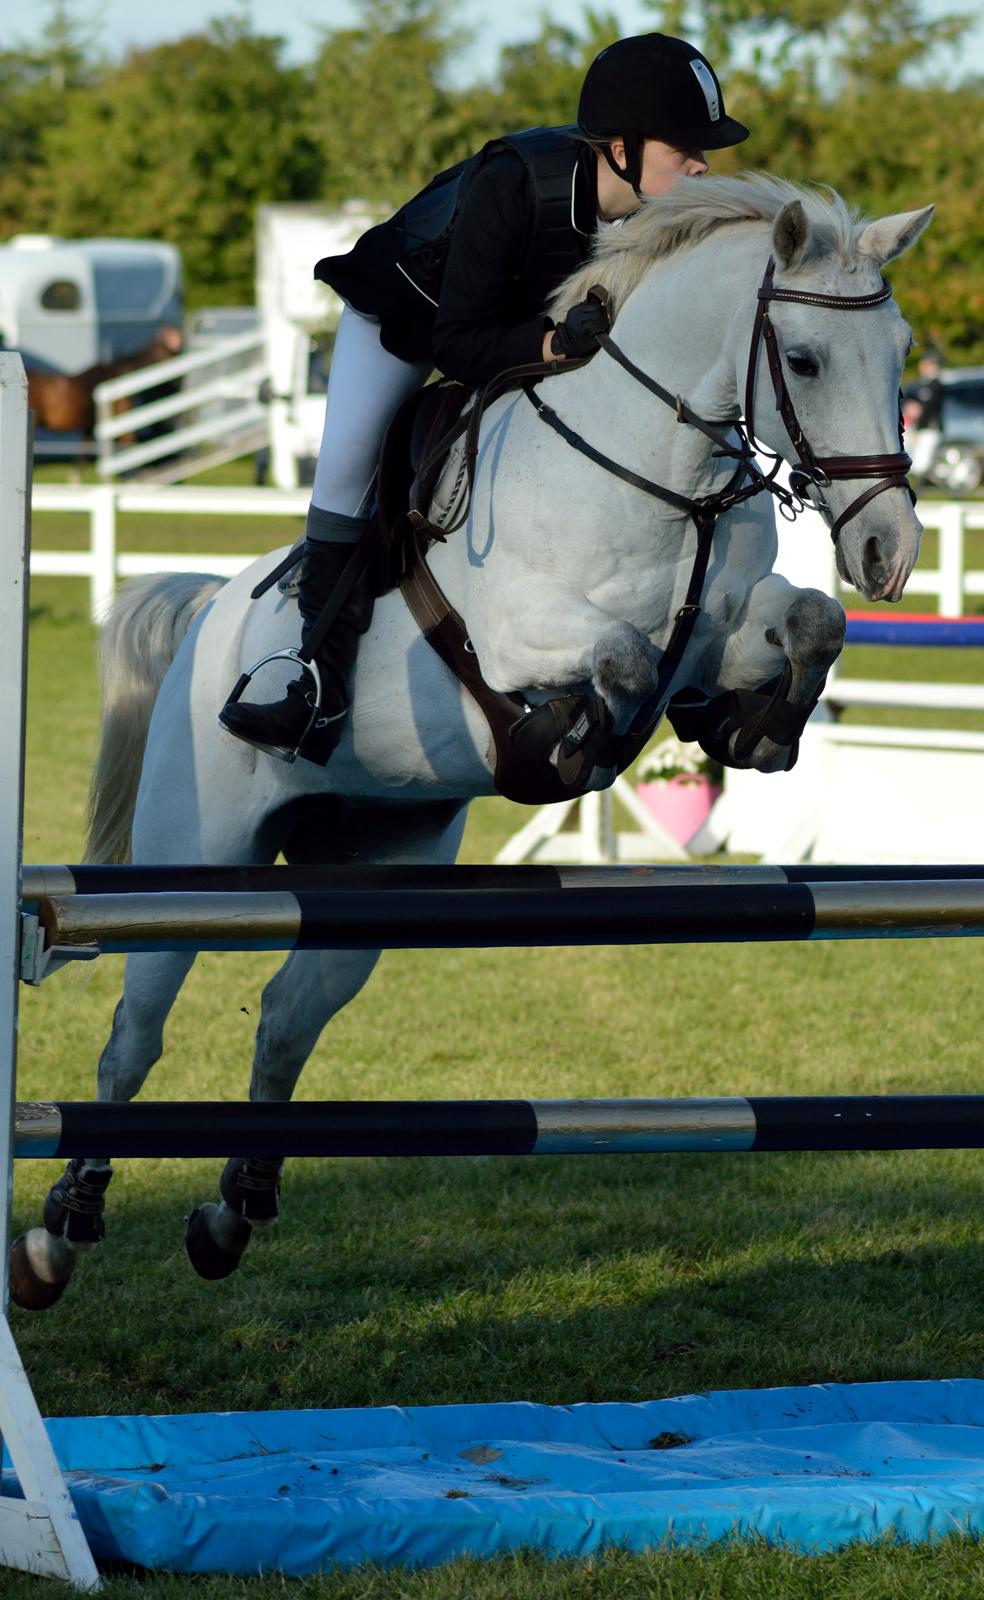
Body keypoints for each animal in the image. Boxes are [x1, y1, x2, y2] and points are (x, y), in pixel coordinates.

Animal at [10, 175, 932, 1308]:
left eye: (900, 349)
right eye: (801, 360)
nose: (889, 549)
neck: (661, 473)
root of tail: (208, 613)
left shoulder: (724, 628)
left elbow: (807, 623)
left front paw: (752, 729)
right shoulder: (517, 632)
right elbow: (624, 657)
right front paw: (567, 742)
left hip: (368, 865)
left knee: (287, 1015)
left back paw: (232, 1214)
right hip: (198, 860)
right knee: (133, 1039)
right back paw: (60, 1233)